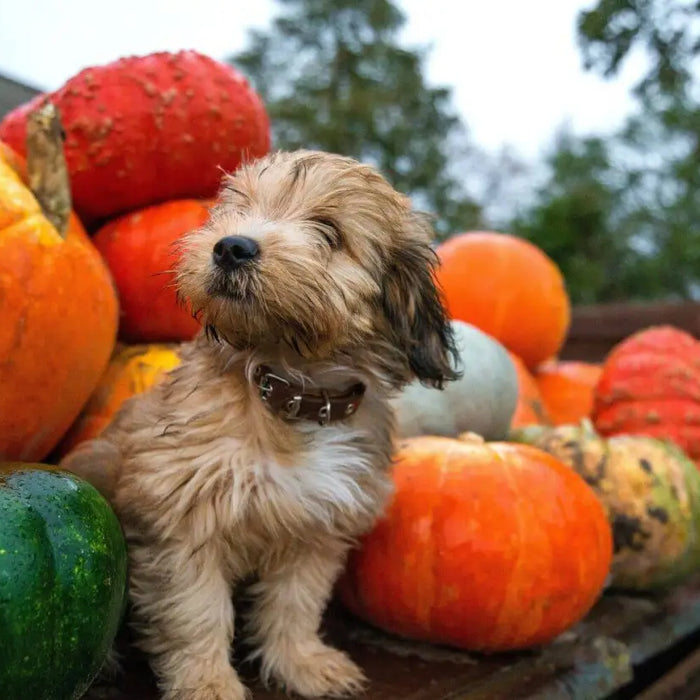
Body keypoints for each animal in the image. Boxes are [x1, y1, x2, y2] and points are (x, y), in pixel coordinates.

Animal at [61, 149, 460, 700]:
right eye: (238, 210)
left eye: (330, 232)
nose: (232, 247)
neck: (290, 391)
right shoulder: (183, 520)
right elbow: (196, 612)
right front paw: (208, 683)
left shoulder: (319, 527)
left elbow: (295, 604)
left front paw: (302, 663)